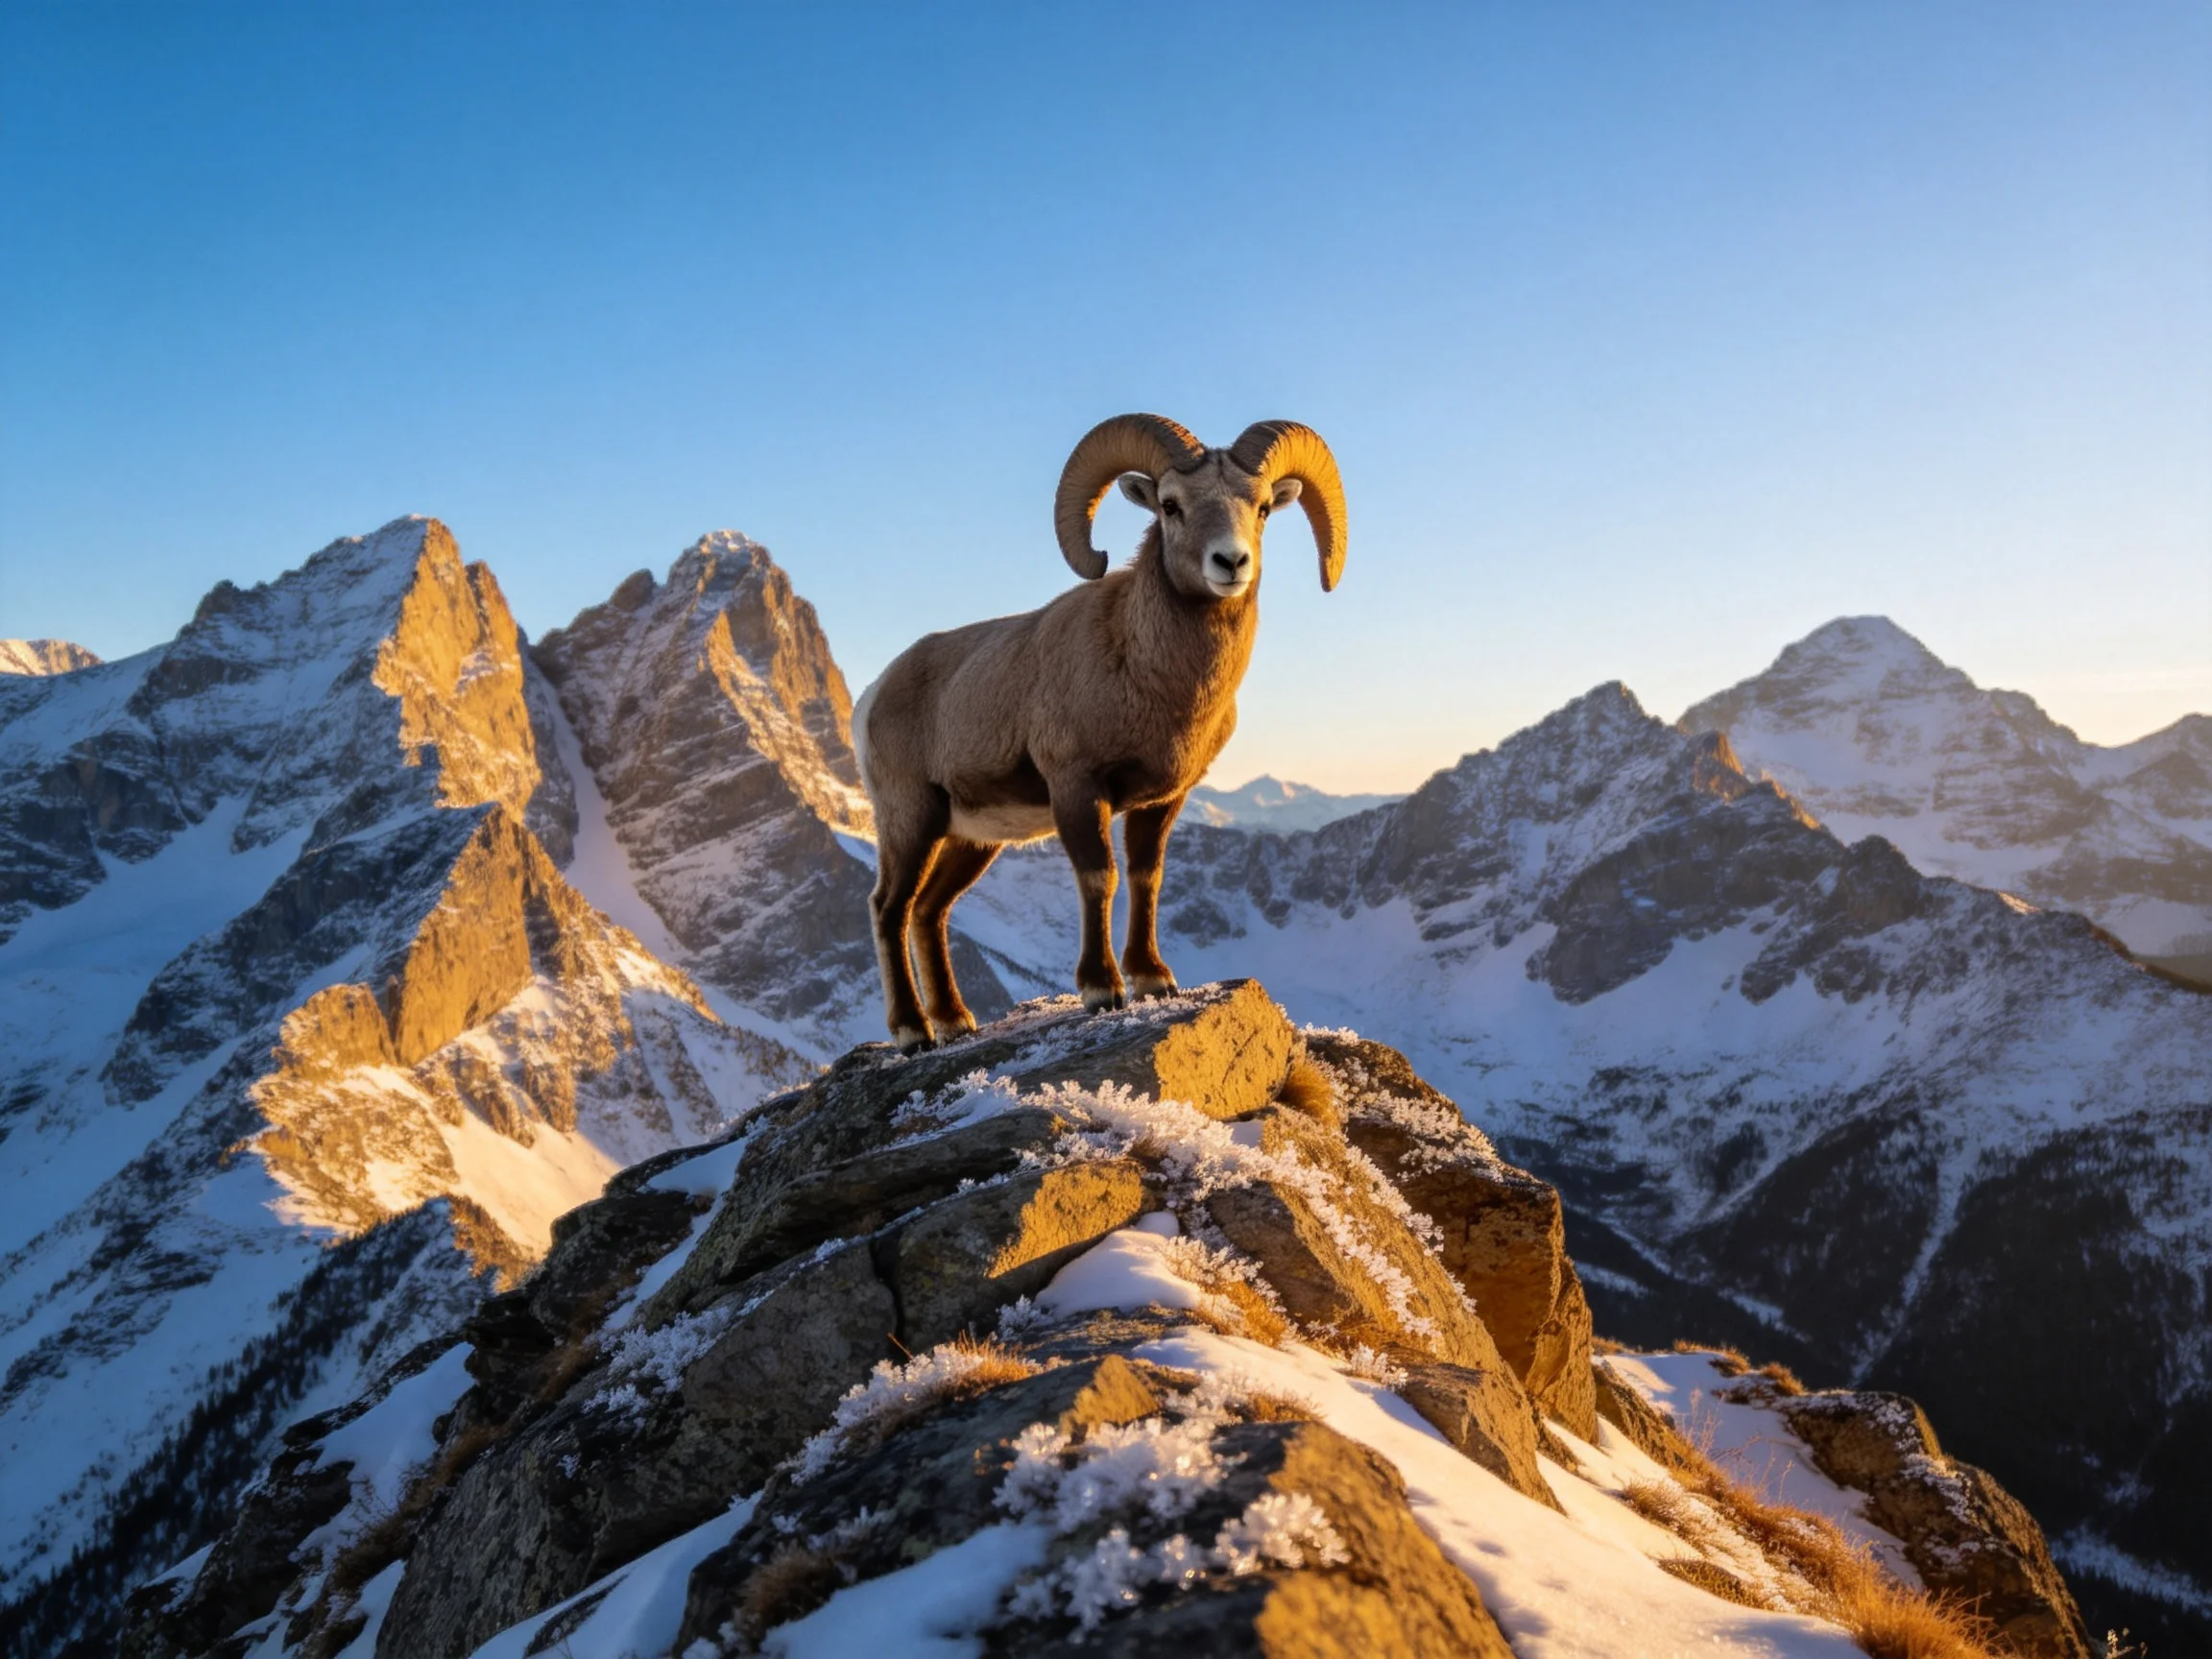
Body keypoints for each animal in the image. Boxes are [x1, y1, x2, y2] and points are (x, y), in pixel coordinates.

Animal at [853, 413, 1348, 1053]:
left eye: (1262, 507)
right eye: (1170, 505)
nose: (1230, 563)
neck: (1142, 668)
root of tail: (874, 694)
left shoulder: (1162, 800)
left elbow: (1145, 876)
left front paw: (1153, 978)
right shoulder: (1077, 787)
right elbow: (1099, 876)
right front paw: (1101, 988)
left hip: (970, 840)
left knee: (928, 911)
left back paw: (956, 1022)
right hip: (911, 820)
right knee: (889, 908)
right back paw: (914, 1032)